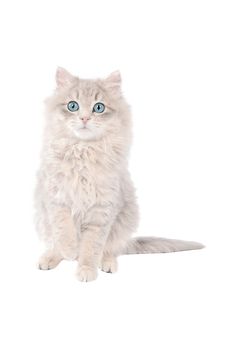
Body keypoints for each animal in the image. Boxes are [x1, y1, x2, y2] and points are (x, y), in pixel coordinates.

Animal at [34, 67, 203, 282]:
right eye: (73, 106)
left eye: (98, 108)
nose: (84, 119)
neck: (84, 150)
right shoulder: (57, 199)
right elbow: (64, 231)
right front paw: (70, 251)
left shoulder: (102, 210)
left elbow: (91, 247)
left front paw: (86, 270)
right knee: (55, 244)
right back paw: (50, 258)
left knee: (109, 250)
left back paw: (107, 264)